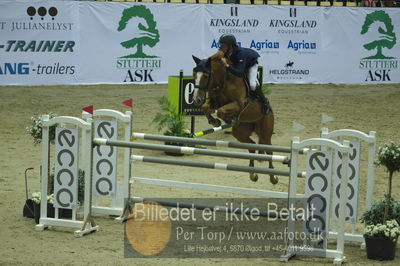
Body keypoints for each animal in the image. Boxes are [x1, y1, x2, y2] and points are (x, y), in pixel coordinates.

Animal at [192, 52, 276, 185]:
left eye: (205, 76)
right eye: (194, 74)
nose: (196, 100)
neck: (223, 81)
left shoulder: (238, 104)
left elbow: (221, 111)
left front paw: (227, 119)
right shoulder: (214, 102)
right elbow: (206, 107)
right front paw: (215, 122)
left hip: (265, 133)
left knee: (269, 151)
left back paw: (273, 177)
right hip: (240, 133)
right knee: (252, 147)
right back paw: (253, 174)